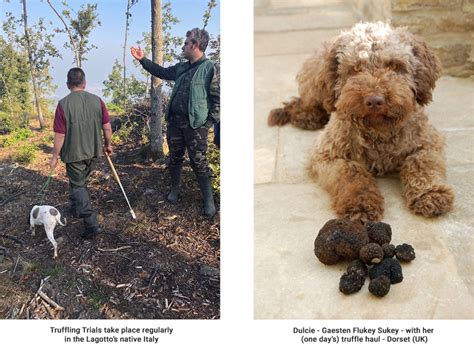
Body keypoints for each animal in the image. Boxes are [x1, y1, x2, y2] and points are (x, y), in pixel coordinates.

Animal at [268, 21, 454, 221]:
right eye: (355, 68)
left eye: (394, 66)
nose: (374, 100)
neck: (379, 131)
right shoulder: (327, 154)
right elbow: (351, 173)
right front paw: (359, 204)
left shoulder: (428, 142)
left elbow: (423, 164)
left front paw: (430, 193)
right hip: (314, 82)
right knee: (308, 101)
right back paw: (307, 115)